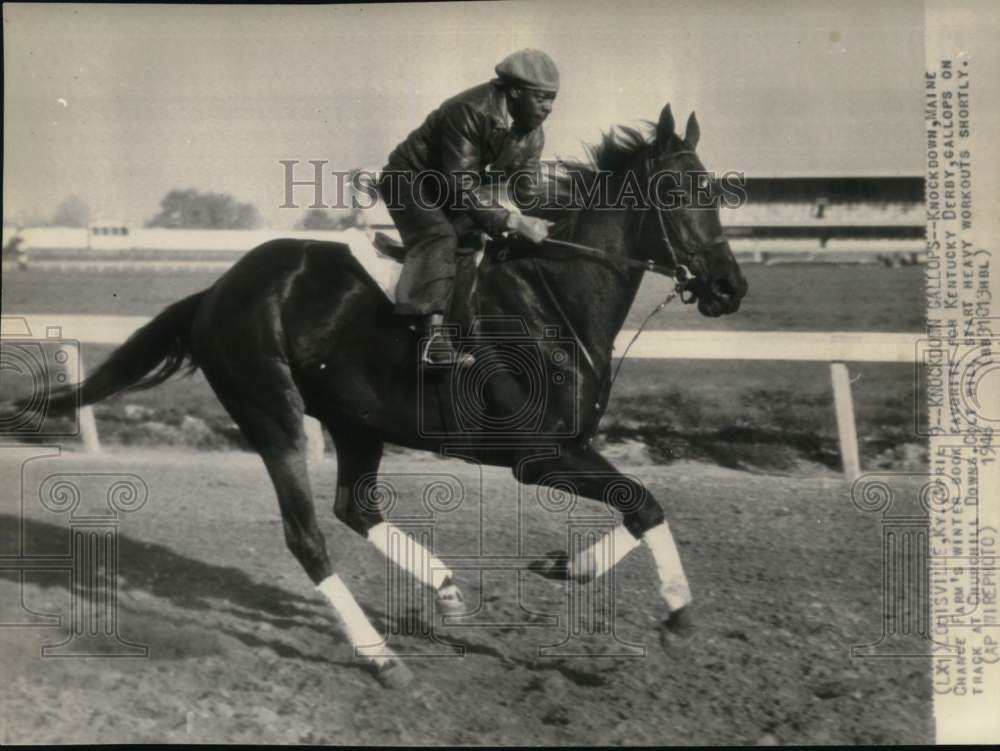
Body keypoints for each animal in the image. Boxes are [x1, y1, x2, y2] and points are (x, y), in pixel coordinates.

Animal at [20, 103, 747, 687]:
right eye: (677, 190)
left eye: (714, 188)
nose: (729, 287)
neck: (551, 300)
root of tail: (215, 291)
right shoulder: (537, 454)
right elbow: (645, 502)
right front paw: (672, 614)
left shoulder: (567, 447)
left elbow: (642, 505)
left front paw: (573, 567)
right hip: (272, 413)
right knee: (308, 535)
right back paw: (379, 655)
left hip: (354, 420)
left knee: (355, 507)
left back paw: (444, 589)